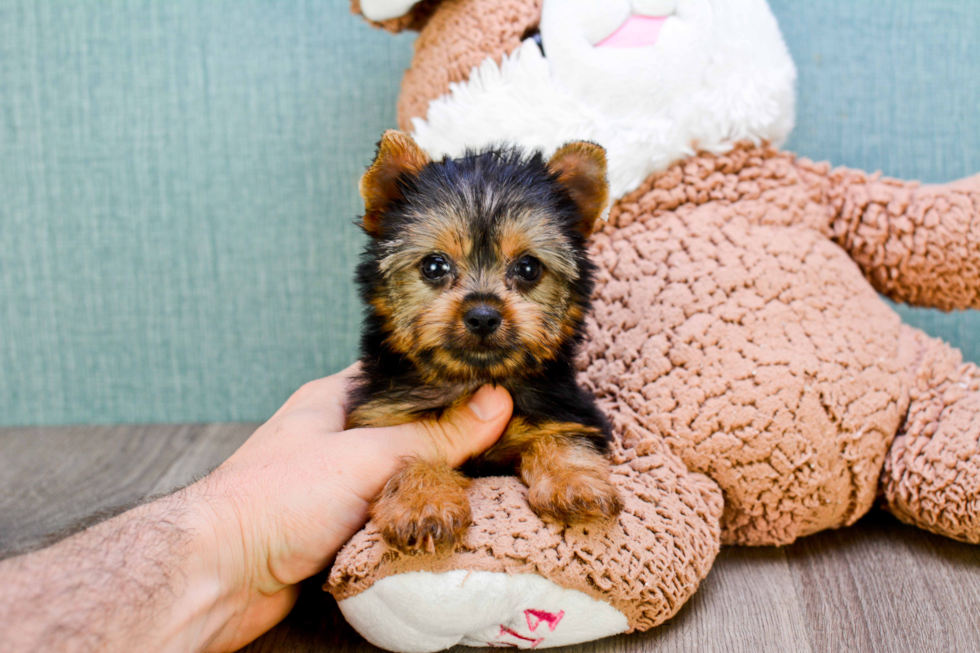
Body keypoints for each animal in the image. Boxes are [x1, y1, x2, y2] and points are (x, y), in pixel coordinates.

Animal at [346, 130, 620, 552]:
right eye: (434, 266)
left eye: (529, 268)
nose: (483, 315)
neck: (473, 378)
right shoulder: (382, 419)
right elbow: (416, 453)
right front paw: (422, 500)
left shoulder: (563, 410)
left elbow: (560, 437)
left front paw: (572, 480)